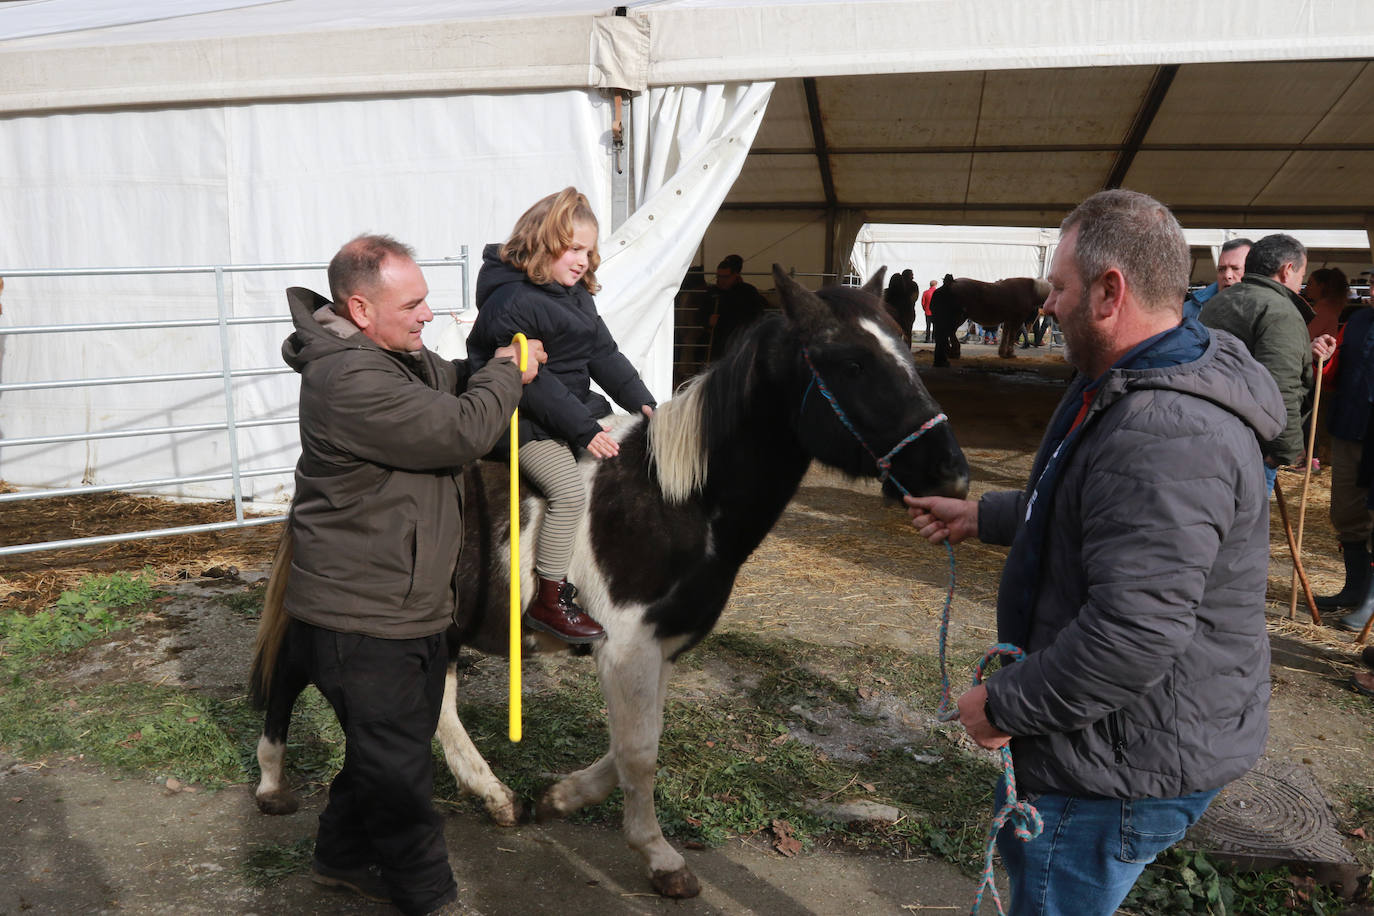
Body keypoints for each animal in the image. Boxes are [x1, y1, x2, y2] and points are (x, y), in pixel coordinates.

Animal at [252, 263, 972, 895]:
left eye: (905, 349)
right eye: (849, 363)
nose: (952, 473)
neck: (677, 499)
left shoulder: (660, 646)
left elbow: (636, 744)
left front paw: (559, 797)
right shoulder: (625, 645)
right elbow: (640, 752)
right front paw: (660, 858)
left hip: (441, 621)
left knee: (437, 704)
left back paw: (496, 797)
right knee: (292, 668)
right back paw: (271, 785)